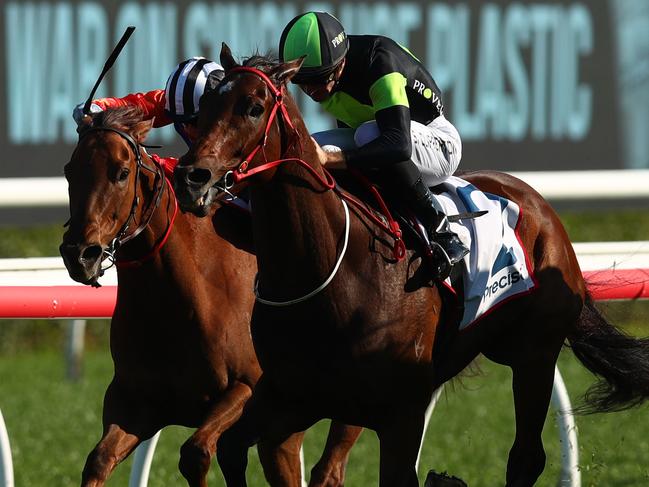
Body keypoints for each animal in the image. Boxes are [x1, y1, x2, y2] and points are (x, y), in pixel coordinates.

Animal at [58, 107, 362, 487]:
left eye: (121, 173)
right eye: (70, 171)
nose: (79, 254)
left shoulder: (246, 387)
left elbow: (196, 452)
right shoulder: (133, 402)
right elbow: (98, 460)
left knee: (329, 468)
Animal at [173, 46, 649, 487]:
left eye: (253, 107)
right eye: (204, 107)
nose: (191, 177)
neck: (325, 271)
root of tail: (541, 206)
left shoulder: (398, 414)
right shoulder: (292, 395)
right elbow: (230, 449)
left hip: (535, 352)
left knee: (526, 458)